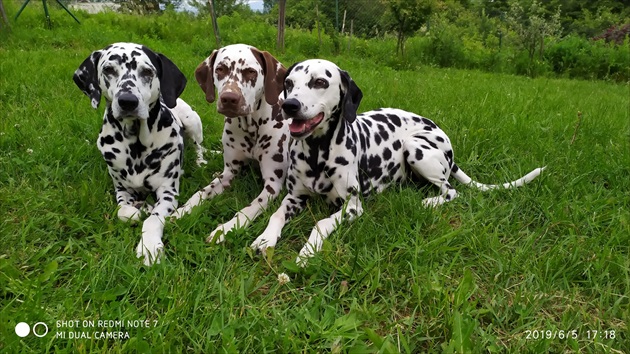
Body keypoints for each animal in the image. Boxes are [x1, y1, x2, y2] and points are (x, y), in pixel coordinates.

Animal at [74, 42, 206, 266]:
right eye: (108, 69)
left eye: (147, 72)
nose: (128, 101)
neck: (135, 144)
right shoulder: (121, 190)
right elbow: (124, 211)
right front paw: (140, 209)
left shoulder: (168, 192)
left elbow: (154, 218)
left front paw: (149, 246)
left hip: (192, 122)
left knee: (199, 146)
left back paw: (200, 161)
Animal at [173, 43, 292, 243]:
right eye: (220, 69)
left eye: (251, 72)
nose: (229, 98)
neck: (251, 127)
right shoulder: (230, 172)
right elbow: (202, 192)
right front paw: (181, 211)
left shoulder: (272, 184)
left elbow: (249, 208)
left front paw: (226, 228)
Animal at [249, 59, 544, 266]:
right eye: (289, 83)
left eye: (320, 82)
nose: (289, 105)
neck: (317, 153)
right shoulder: (294, 197)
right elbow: (275, 214)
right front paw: (265, 238)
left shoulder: (352, 207)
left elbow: (320, 223)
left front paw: (307, 251)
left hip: (415, 148)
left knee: (451, 191)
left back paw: (429, 201)